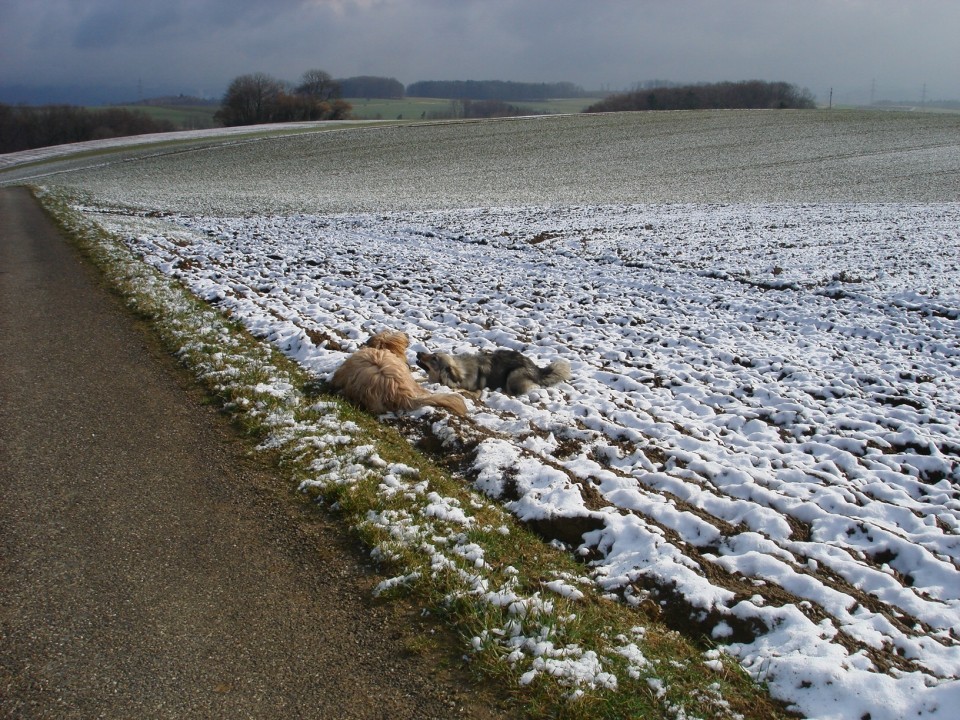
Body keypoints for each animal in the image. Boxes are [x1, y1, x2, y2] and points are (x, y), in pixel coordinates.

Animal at [414, 348, 568, 396]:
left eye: (434, 358)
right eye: (432, 353)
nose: (418, 352)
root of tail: (537, 369)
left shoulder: (477, 391)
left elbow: (463, 390)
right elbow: (421, 379)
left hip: (513, 375)